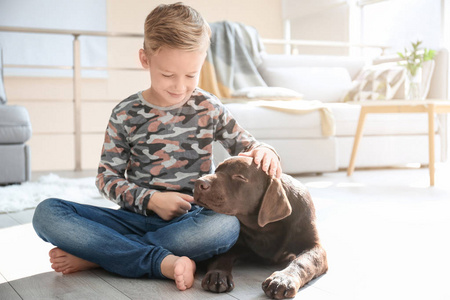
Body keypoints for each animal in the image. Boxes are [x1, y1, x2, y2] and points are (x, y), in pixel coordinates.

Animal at [193, 156, 326, 298]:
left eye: (239, 176)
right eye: (216, 170)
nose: (198, 183)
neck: (265, 228)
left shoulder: (314, 246)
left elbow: (302, 262)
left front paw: (283, 279)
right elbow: (222, 255)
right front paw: (218, 274)